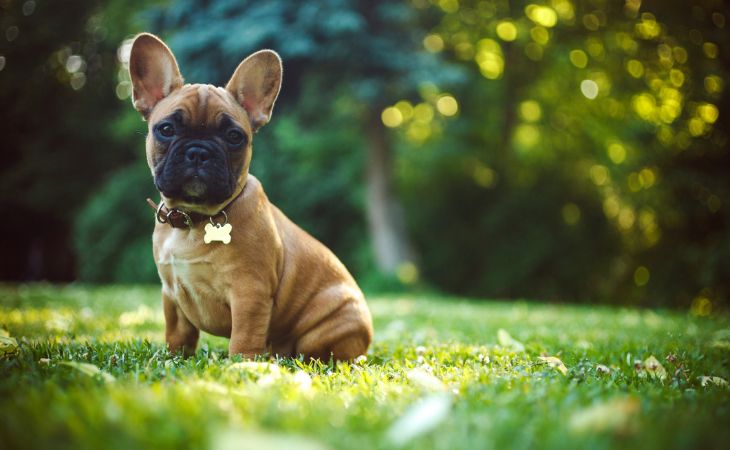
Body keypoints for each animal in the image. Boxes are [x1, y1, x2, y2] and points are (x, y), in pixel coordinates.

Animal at [127, 33, 372, 360]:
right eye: (166, 129)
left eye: (234, 137)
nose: (198, 152)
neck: (194, 219)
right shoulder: (171, 294)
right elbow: (178, 332)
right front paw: (174, 357)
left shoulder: (249, 292)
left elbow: (244, 333)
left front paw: (243, 363)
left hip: (328, 327)